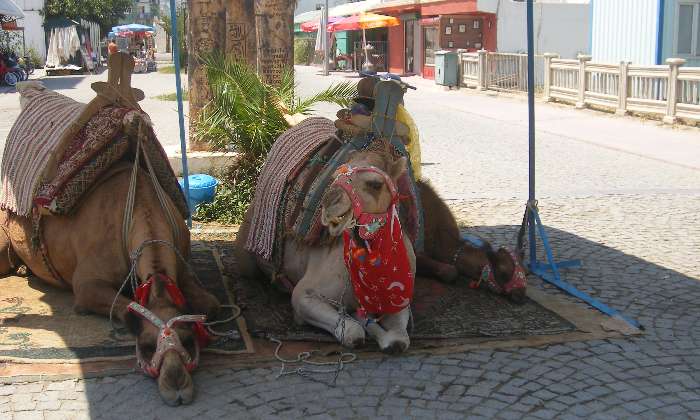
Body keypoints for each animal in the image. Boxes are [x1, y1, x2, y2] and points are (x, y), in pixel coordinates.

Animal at [238, 143, 418, 352]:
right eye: (335, 176)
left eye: (375, 184)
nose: (330, 202)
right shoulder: (303, 295)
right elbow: (353, 333)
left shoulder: (399, 300)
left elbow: (399, 340)